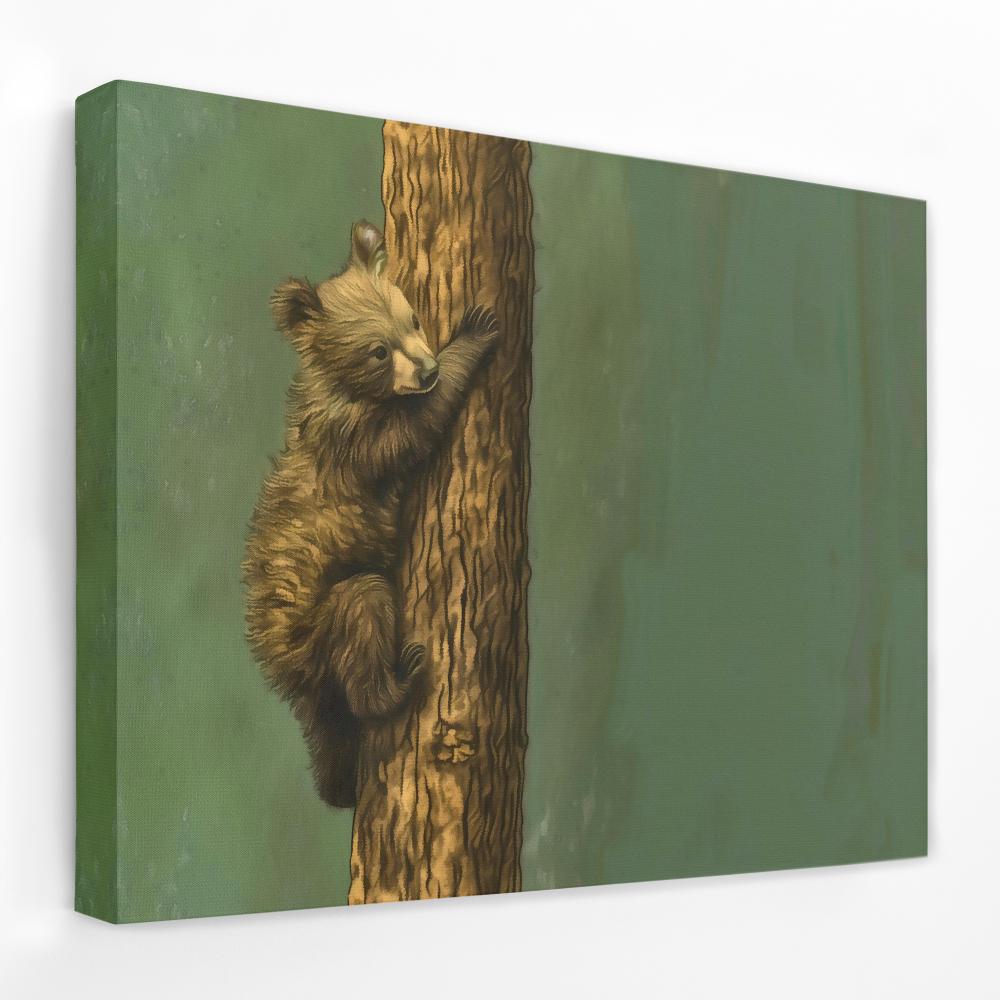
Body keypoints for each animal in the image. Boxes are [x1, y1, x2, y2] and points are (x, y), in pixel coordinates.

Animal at [243, 220, 500, 808]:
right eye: (377, 351)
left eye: (413, 318)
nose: (427, 368)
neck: (348, 391)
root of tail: (286, 670)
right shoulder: (355, 442)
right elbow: (413, 429)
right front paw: (474, 334)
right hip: (327, 617)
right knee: (363, 611)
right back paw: (397, 683)